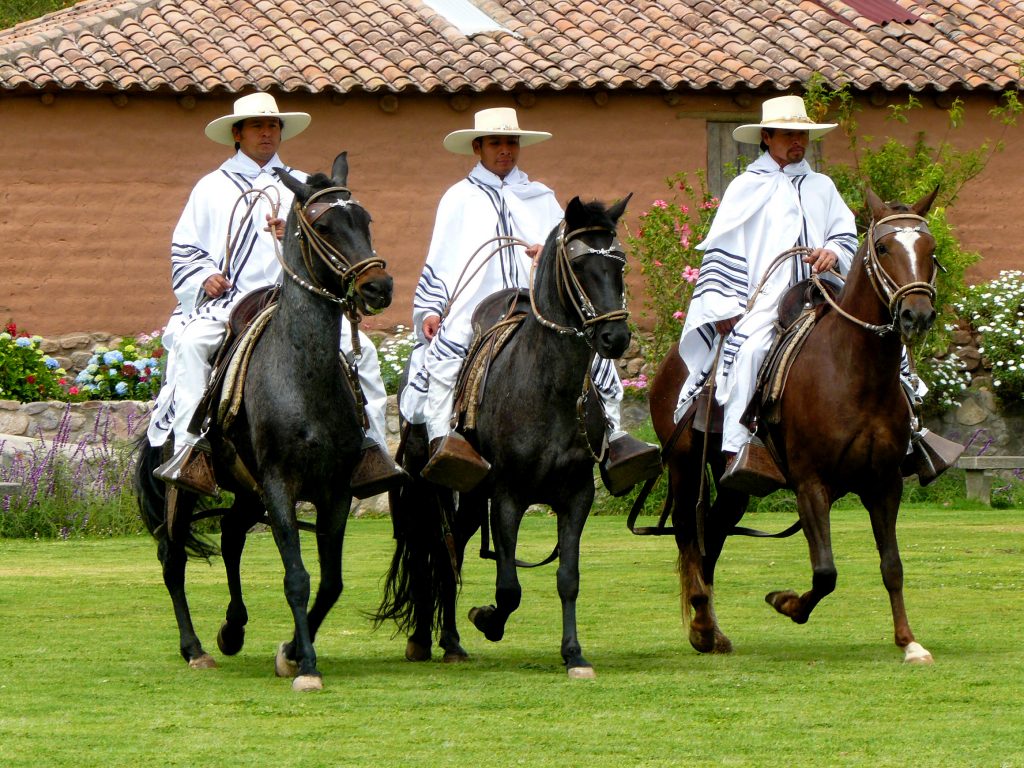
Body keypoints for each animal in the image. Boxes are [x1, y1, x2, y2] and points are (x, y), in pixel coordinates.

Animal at [136, 153, 391, 696]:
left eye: (365, 220)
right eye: (324, 226)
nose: (379, 286)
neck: (301, 376)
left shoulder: (335, 488)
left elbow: (331, 581)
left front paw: (292, 652)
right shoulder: (278, 482)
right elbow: (297, 576)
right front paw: (307, 665)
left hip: (247, 491)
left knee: (232, 536)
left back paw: (232, 629)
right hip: (187, 491)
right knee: (173, 558)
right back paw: (195, 649)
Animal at [376, 195, 630, 675]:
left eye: (619, 262)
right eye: (579, 265)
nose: (615, 337)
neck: (546, 387)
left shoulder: (577, 495)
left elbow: (568, 578)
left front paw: (573, 653)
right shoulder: (508, 495)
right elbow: (508, 588)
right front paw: (487, 619)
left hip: (473, 496)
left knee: (450, 552)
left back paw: (450, 641)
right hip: (433, 489)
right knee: (433, 551)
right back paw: (426, 639)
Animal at [651, 189, 937, 663]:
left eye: (930, 250)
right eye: (883, 248)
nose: (917, 315)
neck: (856, 371)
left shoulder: (884, 484)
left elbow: (892, 565)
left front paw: (908, 641)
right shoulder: (810, 483)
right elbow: (825, 572)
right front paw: (786, 603)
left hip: (733, 484)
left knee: (713, 535)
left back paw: (709, 629)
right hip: (685, 466)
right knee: (690, 536)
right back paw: (701, 624)